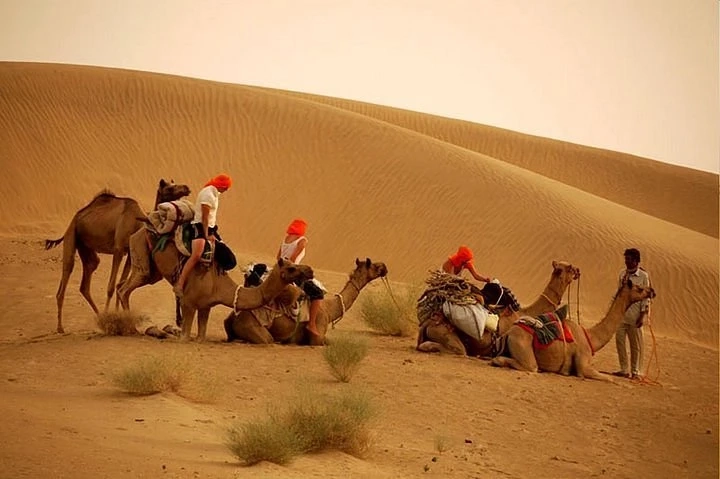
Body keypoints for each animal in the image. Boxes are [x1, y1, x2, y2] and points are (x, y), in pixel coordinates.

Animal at [45, 180, 191, 333]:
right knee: (67, 270)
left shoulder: (129, 255)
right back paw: (61, 327)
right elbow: (111, 286)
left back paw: (100, 317)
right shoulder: (119, 249)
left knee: (87, 277)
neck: (138, 222)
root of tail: (74, 219)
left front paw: (117, 316)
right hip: (71, 235)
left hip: (86, 248)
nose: (186, 188)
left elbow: (119, 284)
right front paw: (112, 317)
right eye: (169, 188)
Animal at [117, 230, 314, 341]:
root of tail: (138, 231)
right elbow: (185, 337)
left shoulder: (206, 306)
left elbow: (201, 337)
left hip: (153, 271)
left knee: (122, 286)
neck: (219, 286)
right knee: (125, 290)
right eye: (291, 268)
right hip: (141, 250)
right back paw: (130, 328)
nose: (310, 270)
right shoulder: (188, 303)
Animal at [223, 258, 388, 346]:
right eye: (374, 265)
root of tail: (234, 317)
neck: (329, 309)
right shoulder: (317, 336)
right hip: (255, 329)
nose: (384, 267)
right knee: (266, 339)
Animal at [491, 279, 656, 381]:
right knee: (529, 366)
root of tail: (508, 333)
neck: (590, 337)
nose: (652, 291)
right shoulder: (583, 365)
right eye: (640, 288)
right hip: (523, 346)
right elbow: (609, 378)